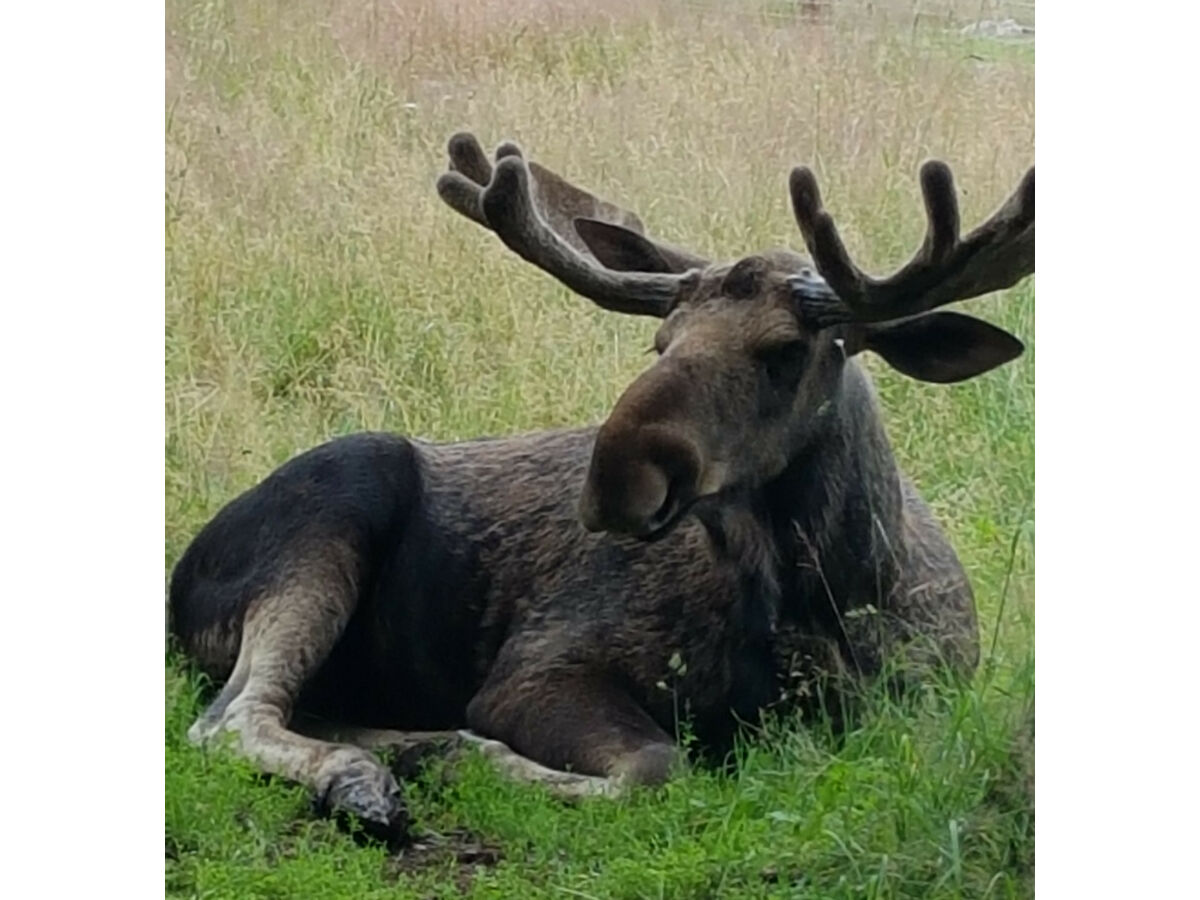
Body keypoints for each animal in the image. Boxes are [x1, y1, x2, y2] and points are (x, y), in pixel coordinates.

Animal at [169, 130, 1032, 844]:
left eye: (787, 350)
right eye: (662, 339)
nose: (616, 476)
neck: (828, 600)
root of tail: (180, 580)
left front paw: (442, 752)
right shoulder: (534, 669)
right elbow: (656, 767)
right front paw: (463, 756)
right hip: (335, 506)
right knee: (230, 718)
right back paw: (370, 777)